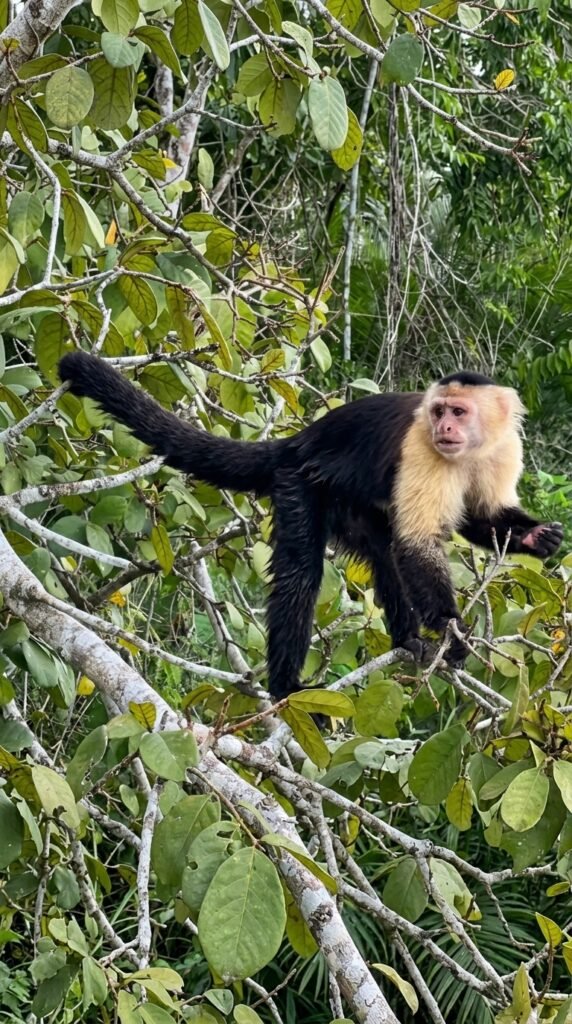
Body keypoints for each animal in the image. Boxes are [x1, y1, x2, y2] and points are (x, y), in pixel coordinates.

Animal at [58, 354, 563, 701]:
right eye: (438, 411)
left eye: (458, 413)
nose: (444, 428)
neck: (468, 450)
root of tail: (298, 441)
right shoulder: (421, 447)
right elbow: (417, 543)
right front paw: (451, 630)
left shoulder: (504, 448)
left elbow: (480, 518)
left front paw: (536, 537)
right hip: (300, 483)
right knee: (303, 574)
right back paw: (286, 687)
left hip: (350, 506)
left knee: (384, 550)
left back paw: (408, 640)